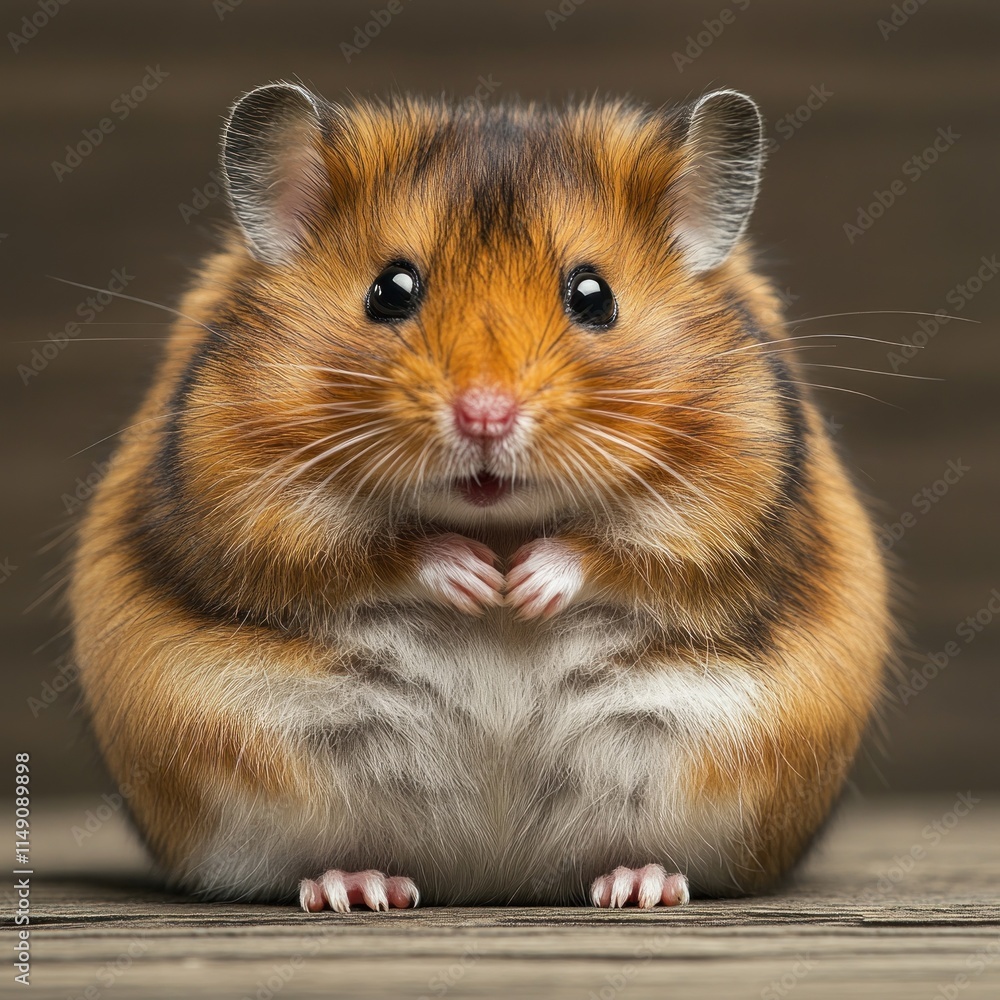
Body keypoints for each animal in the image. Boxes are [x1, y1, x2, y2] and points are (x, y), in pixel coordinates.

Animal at [69, 83, 891, 912]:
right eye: (389, 290)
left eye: (594, 295)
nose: (485, 416)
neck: (497, 520)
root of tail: (489, 873)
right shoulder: (244, 498)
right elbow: (363, 552)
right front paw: (475, 582)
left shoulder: (726, 499)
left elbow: (624, 551)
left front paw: (521, 587)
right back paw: (356, 889)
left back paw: (637, 885)